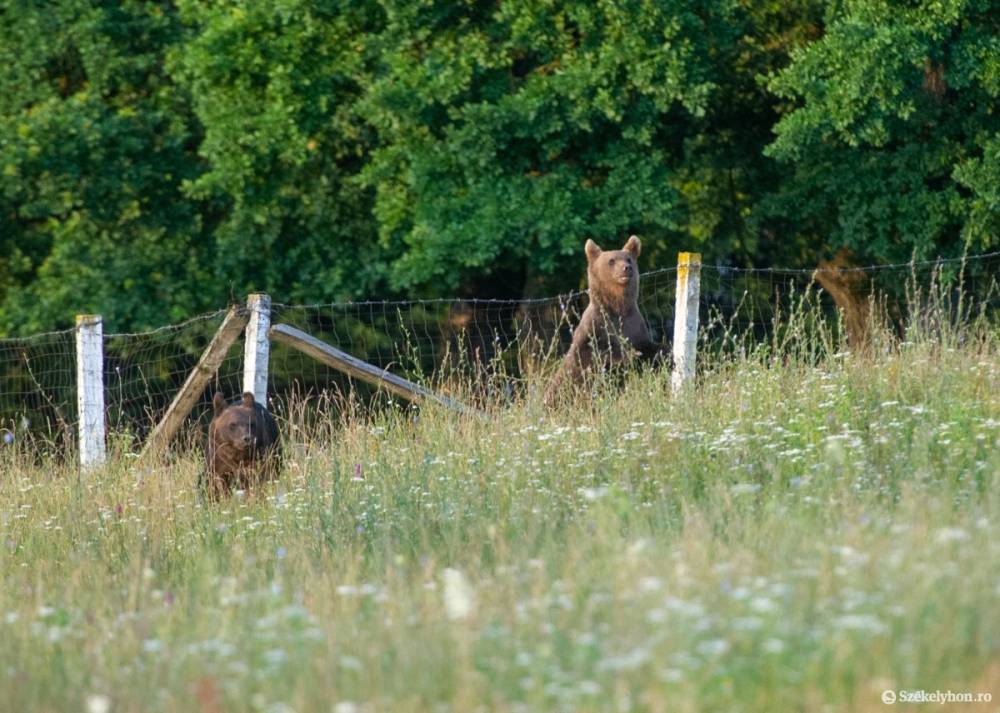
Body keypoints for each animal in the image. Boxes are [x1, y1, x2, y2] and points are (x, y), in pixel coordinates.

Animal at [544, 236, 668, 406]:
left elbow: (649, 348)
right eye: (611, 260)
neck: (618, 307)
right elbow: (587, 353)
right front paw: (626, 355)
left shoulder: (634, 324)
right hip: (560, 391)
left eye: (629, 259)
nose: (627, 268)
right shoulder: (595, 324)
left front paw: (666, 353)